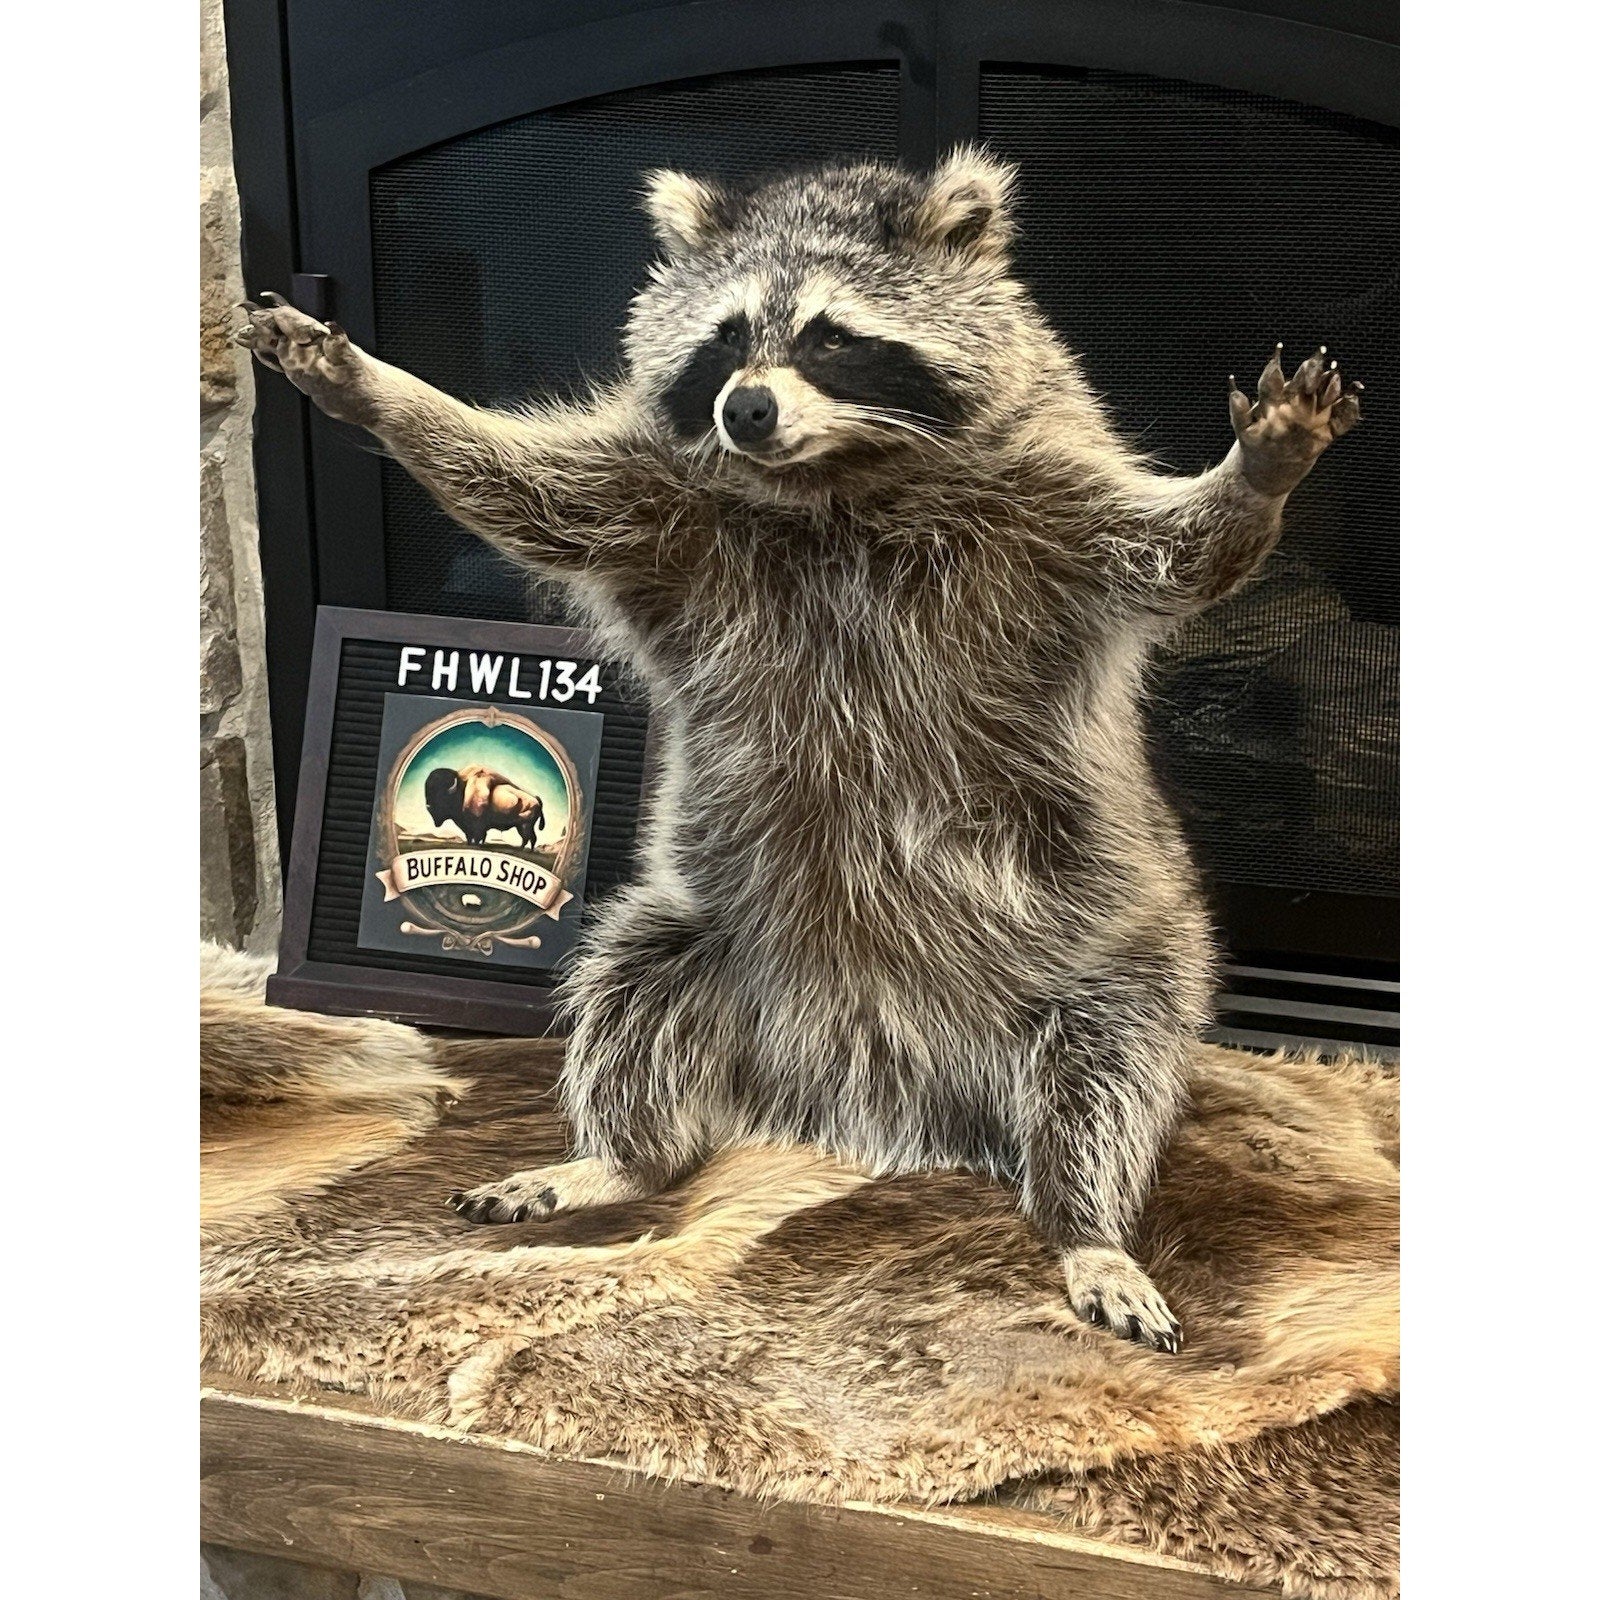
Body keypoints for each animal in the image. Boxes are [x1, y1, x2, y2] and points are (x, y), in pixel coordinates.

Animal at [239, 149, 1361, 1351]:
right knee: (630, 992)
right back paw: (616, 1158)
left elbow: (1182, 552)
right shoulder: (655, 499)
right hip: (707, 933)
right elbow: (516, 483)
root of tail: (867, 1102)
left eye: (830, 337)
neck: (835, 479)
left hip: (1112, 949)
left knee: (1107, 1078)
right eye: (729, 335)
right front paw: (373, 387)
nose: (747, 407)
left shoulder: (1049, 512)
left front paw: (1258, 474)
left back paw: (1084, 1224)